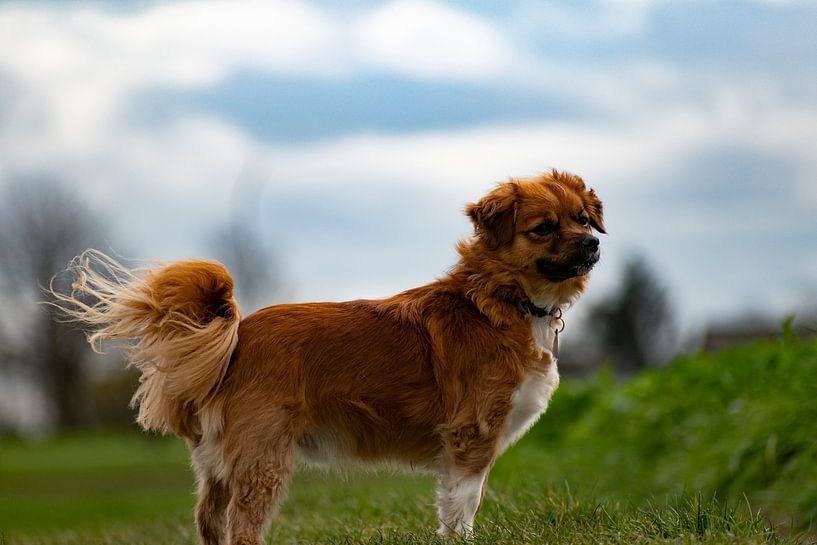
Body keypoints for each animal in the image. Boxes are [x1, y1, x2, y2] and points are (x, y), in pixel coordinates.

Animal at [54, 168, 604, 540]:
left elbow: (454, 508)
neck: (503, 299)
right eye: (543, 228)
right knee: (241, 527)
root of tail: (237, 336)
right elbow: (463, 507)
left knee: (209, 521)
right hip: (263, 457)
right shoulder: (472, 436)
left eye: (582, 219)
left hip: (218, 465)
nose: (593, 244)